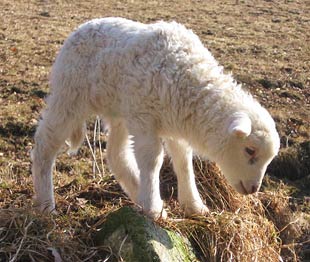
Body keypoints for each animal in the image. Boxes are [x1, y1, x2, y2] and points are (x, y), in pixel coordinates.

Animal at [31, 17, 280, 219]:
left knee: (116, 156)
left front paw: (193, 205)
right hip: (70, 96)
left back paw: (137, 192)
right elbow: (153, 160)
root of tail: (81, 28)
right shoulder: (145, 119)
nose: (253, 189)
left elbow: (183, 161)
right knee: (45, 144)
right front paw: (152, 207)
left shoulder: (174, 123)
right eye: (250, 150)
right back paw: (45, 205)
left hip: (120, 111)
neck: (189, 80)